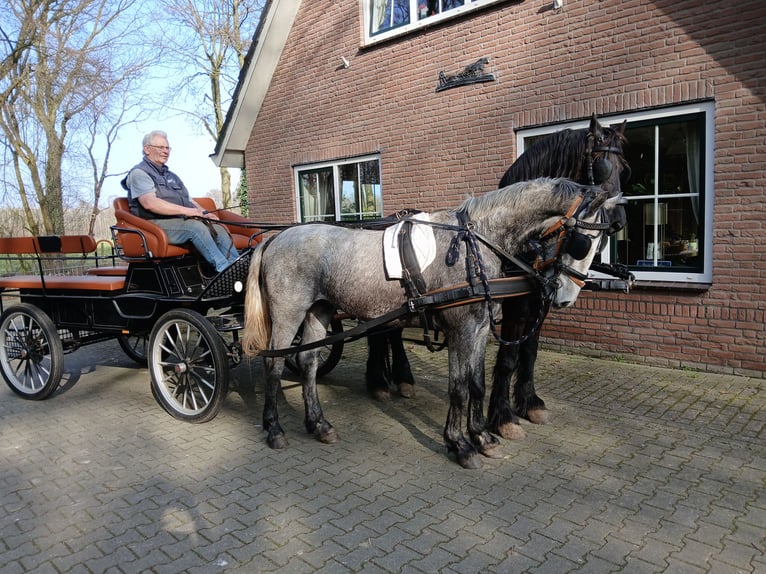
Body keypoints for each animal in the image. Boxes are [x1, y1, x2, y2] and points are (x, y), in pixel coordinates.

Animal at [242, 177, 625, 469]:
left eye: (602, 241)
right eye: (583, 241)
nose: (564, 296)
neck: (475, 240)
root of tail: (275, 238)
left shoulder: (480, 329)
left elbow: (476, 384)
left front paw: (483, 436)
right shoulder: (461, 330)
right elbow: (458, 388)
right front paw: (460, 445)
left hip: (318, 311)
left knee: (307, 362)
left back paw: (319, 425)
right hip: (289, 312)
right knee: (275, 364)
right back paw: (275, 430)